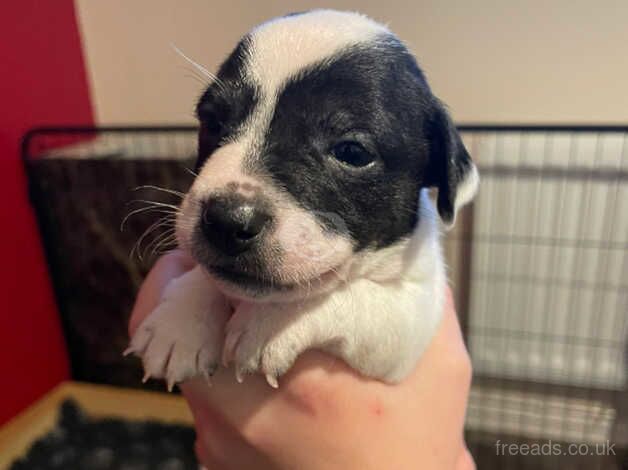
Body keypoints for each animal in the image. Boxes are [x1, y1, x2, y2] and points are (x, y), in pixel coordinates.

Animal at [129, 10, 480, 390]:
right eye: (212, 122)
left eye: (352, 153)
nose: (226, 220)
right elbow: (206, 274)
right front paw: (180, 322)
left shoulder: (412, 319)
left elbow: (349, 296)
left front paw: (269, 321)